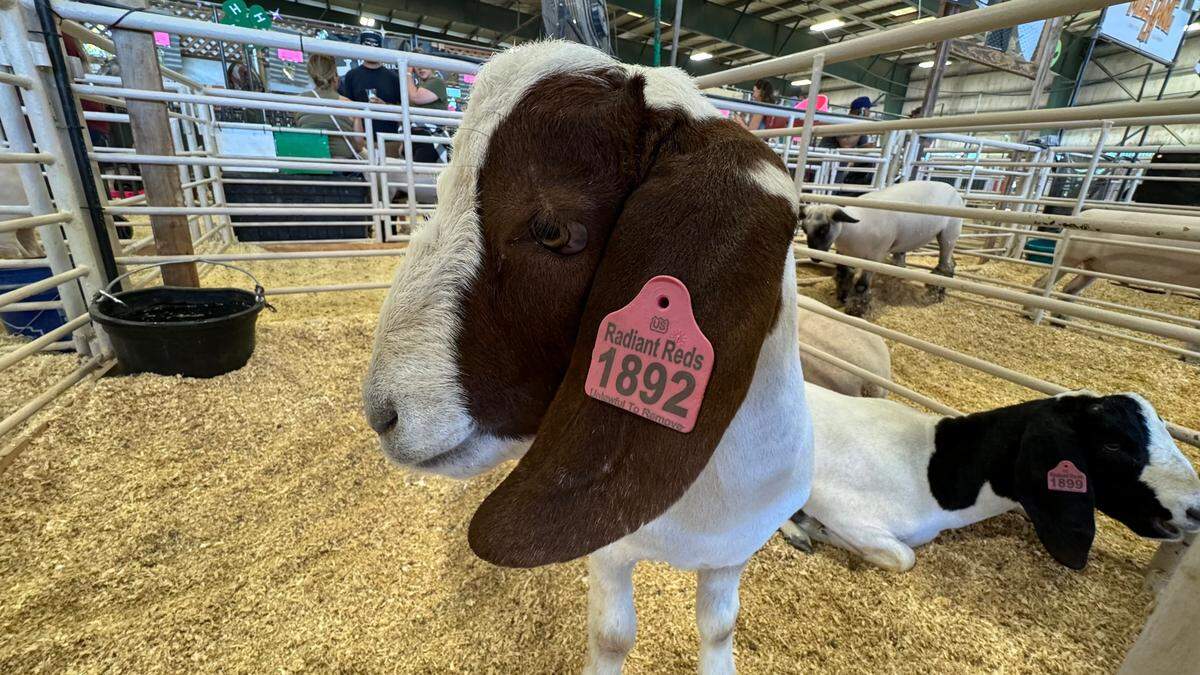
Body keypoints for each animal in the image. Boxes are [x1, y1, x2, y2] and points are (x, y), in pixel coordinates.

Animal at [363, 41, 814, 674]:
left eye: (551, 230)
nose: (383, 414)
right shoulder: (609, 548)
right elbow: (613, 634)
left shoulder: (734, 550)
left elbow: (720, 625)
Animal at [798, 180, 963, 316]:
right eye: (804, 229)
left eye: (824, 229)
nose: (814, 258)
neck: (853, 229)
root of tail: (951, 188)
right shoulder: (844, 254)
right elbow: (843, 275)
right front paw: (843, 297)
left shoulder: (874, 258)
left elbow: (861, 286)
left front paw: (856, 310)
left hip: (948, 235)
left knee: (946, 266)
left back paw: (934, 295)